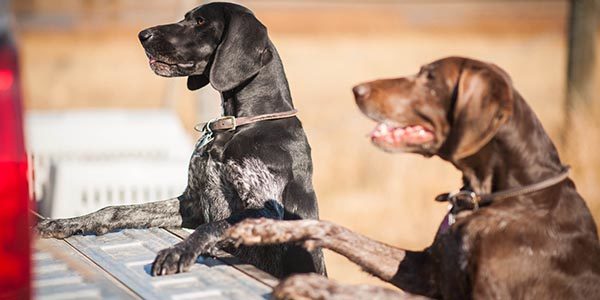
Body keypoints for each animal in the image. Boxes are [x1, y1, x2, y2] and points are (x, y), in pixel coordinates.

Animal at [35, 2, 326, 278]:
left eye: (200, 21)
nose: (142, 34)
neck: (239, 124)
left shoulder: (265, 211)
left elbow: (213, 225)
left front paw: (179, 250)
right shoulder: (192, 203)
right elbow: (116, 210)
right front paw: (66, 222)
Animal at [224, 56, 600, 300]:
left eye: (430, 78)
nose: (358, 89)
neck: (493, 196)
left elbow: (378, 291)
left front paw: (312, 286)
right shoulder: (422, 269)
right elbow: (333, 228)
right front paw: (264, 229)